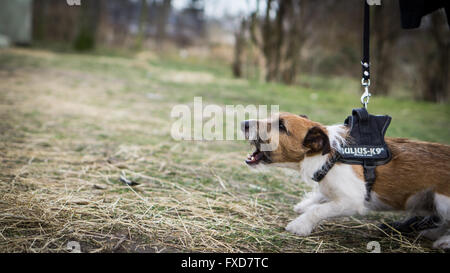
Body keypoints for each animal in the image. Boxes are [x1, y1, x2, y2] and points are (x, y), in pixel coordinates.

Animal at [241, 111, 450, 248]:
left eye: (281, 126)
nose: (243, 123)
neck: (330, 156)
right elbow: (320, 196)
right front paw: (304, 205)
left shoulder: (353, 201)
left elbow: (319, 210)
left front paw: (300, 225)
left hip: (443, 201)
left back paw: (443, 241)